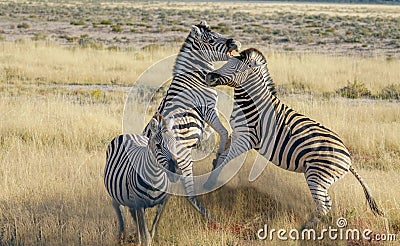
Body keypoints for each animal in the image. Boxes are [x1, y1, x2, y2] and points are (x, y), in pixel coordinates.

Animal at [105, 114, 182, 245]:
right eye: (158, 146)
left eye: (175, 144)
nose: (176, 172)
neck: (155, 178)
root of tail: (128, 134)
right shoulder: (140, 203)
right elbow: (146, 232)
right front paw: (143, 240)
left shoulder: (162, 202)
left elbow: (152, 229)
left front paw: (145, 239)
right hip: (117, 195)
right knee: (120, 211)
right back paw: (122, 237)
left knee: (133, 215)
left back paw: (137, 239)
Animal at [205, 47, 382, 227]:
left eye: (236, 67)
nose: (208, 76)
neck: (253, 104)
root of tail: (349, 159)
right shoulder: (238, 133)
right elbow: (222, 154)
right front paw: (213, 169)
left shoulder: (248, 139)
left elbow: (226, 159)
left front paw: (209, 183)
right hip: (319, 177)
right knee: (325, 205)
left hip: (316, 176)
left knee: (325, 205)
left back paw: (307, 227)